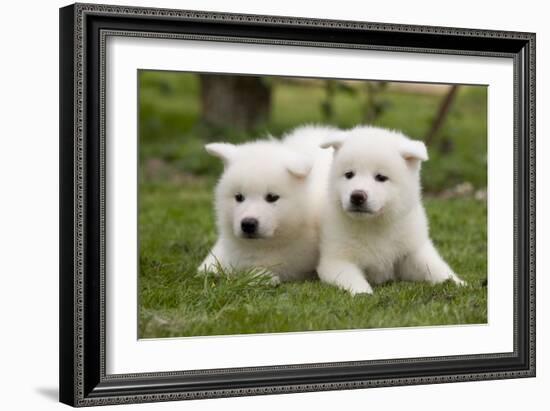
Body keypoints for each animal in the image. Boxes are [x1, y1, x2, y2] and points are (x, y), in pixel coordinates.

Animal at [320, 127, 466, 294]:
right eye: (349, 174)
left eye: (381, 177)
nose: (357, 196)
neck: (374, 226)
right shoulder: (336, 260)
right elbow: (352, 278)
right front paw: (364, 293)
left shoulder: (413, 251)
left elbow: (436, 268)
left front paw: (458, 283)